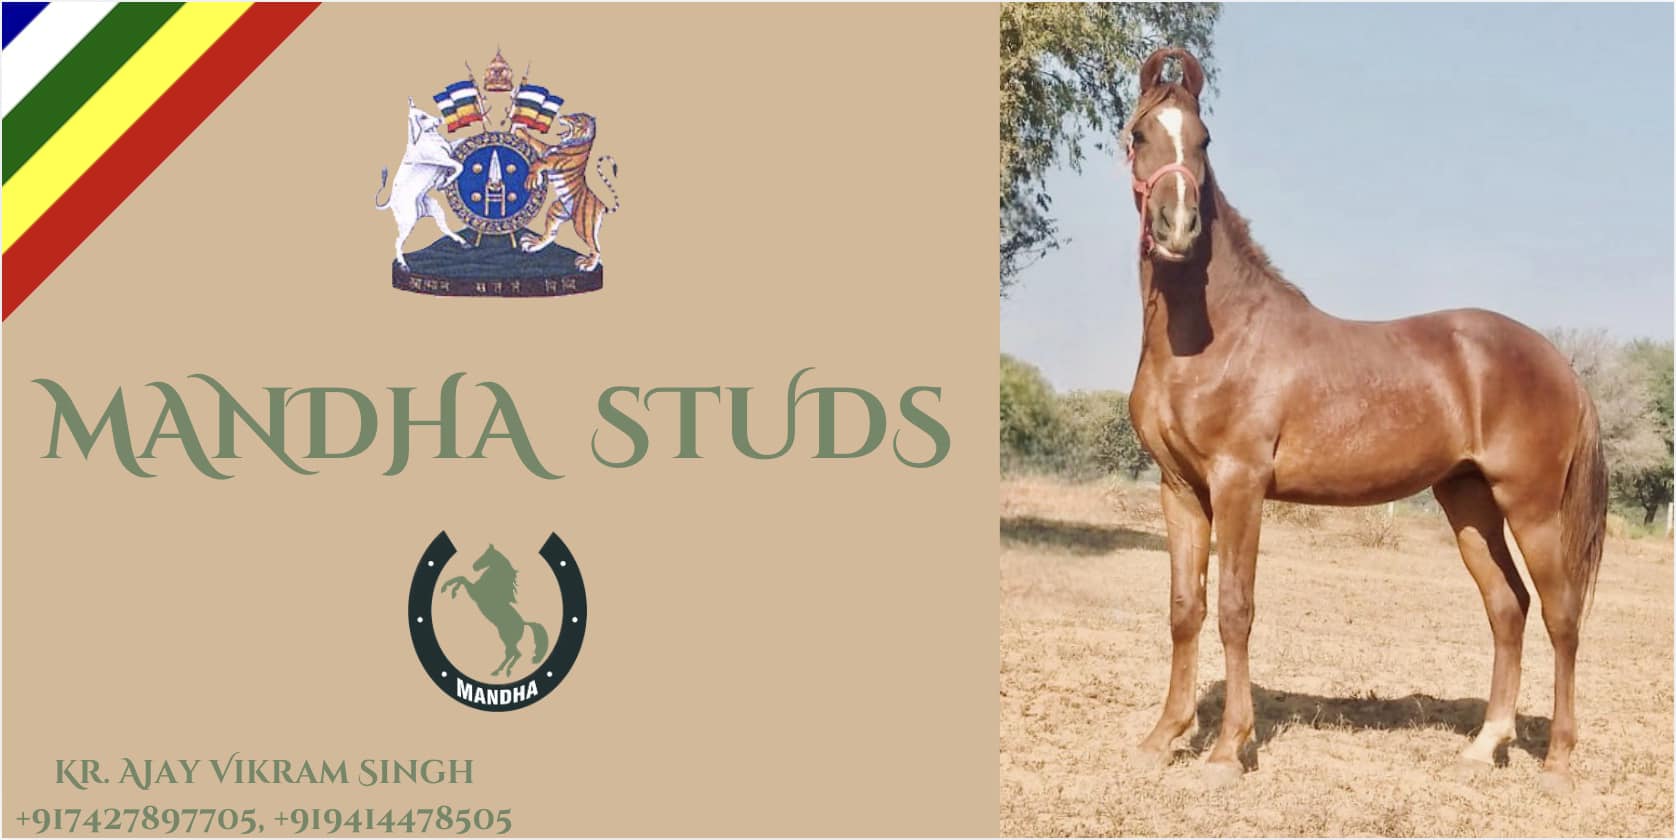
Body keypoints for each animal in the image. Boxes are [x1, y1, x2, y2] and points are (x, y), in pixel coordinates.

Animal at [441, 545, 551, 678]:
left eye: (485, 556)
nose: (474, 566)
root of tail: (524, 623)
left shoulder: (474, 593)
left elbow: (462, 578)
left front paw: (448, 590)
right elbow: (461, 579)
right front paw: (451, 591)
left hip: (507, 638)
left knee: (514, 653)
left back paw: (500, 671)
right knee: (515, 653)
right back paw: (503, 671)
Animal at [1118, 48, 1606, 793]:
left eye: (1204, 140)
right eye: (1140, 135)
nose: (1178, 229)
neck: (1214, 332)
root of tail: (1560, 363)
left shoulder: (1240, 484)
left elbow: (1234, 610)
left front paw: (1228, 750)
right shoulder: (1180, 489)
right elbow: (1184, 610)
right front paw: (1162, 738)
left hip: (1532, 508)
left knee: (1561, 614)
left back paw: (1556, 761)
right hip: (1468, 502)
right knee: (1507, 607)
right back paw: (1484, 744)